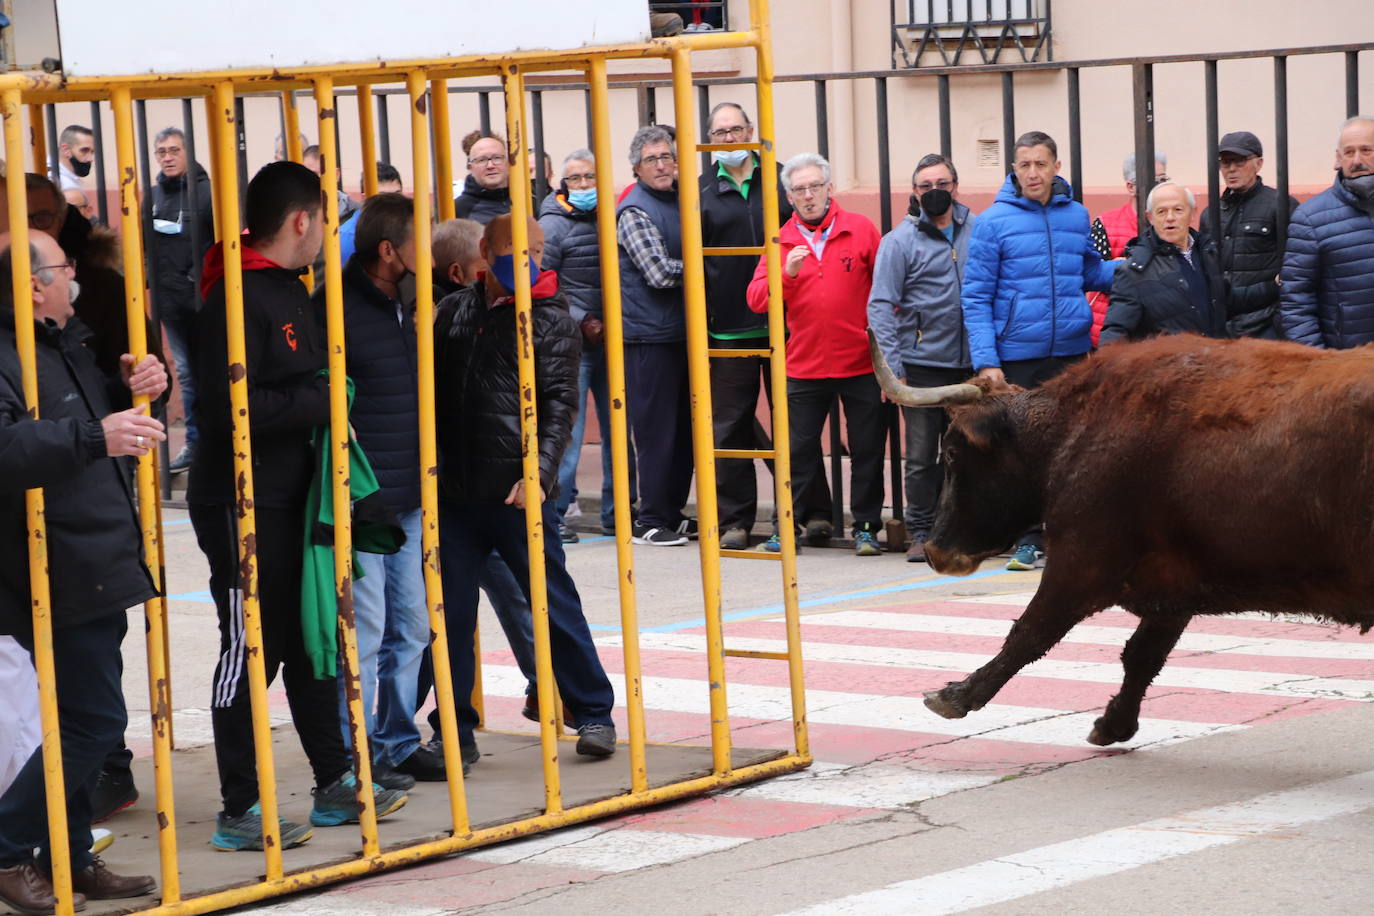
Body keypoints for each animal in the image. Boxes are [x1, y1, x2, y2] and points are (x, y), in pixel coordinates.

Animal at [868, 333, 1374, 747]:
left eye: (953, 453)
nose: (936, 552)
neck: (1074, 429)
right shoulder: (1175, 583)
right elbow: (1143, 655)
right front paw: (1114, 723)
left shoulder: (1080, 561)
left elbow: (1028, 634)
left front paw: (957, 694)